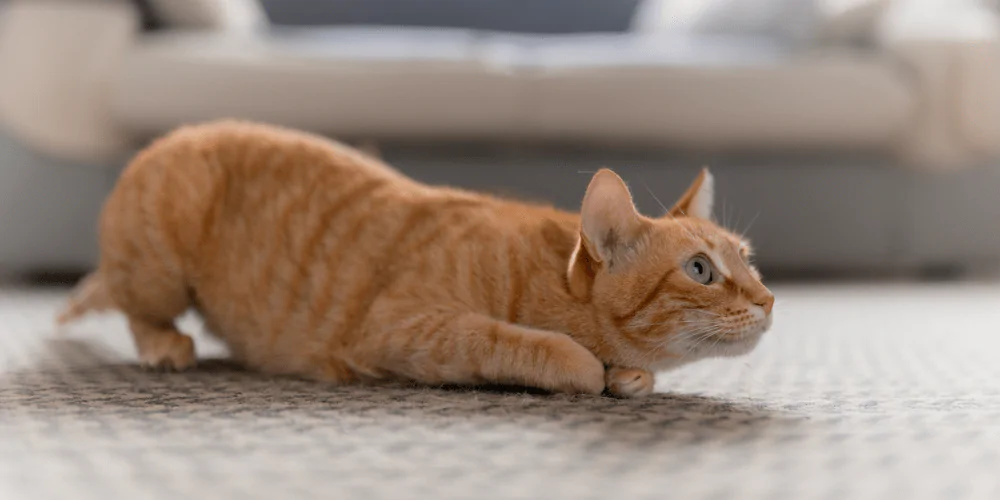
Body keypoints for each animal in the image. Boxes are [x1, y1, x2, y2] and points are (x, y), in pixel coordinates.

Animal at [56, 121, 772, 398]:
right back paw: (163, 344)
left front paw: (629, 375)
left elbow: (633, 373)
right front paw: (590, 366)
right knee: (136, 309)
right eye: (701, 270)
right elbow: (536, 348)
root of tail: (170, 138)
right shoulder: (400, 328)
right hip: (159, 263)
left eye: (749, 261)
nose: (769, 300)